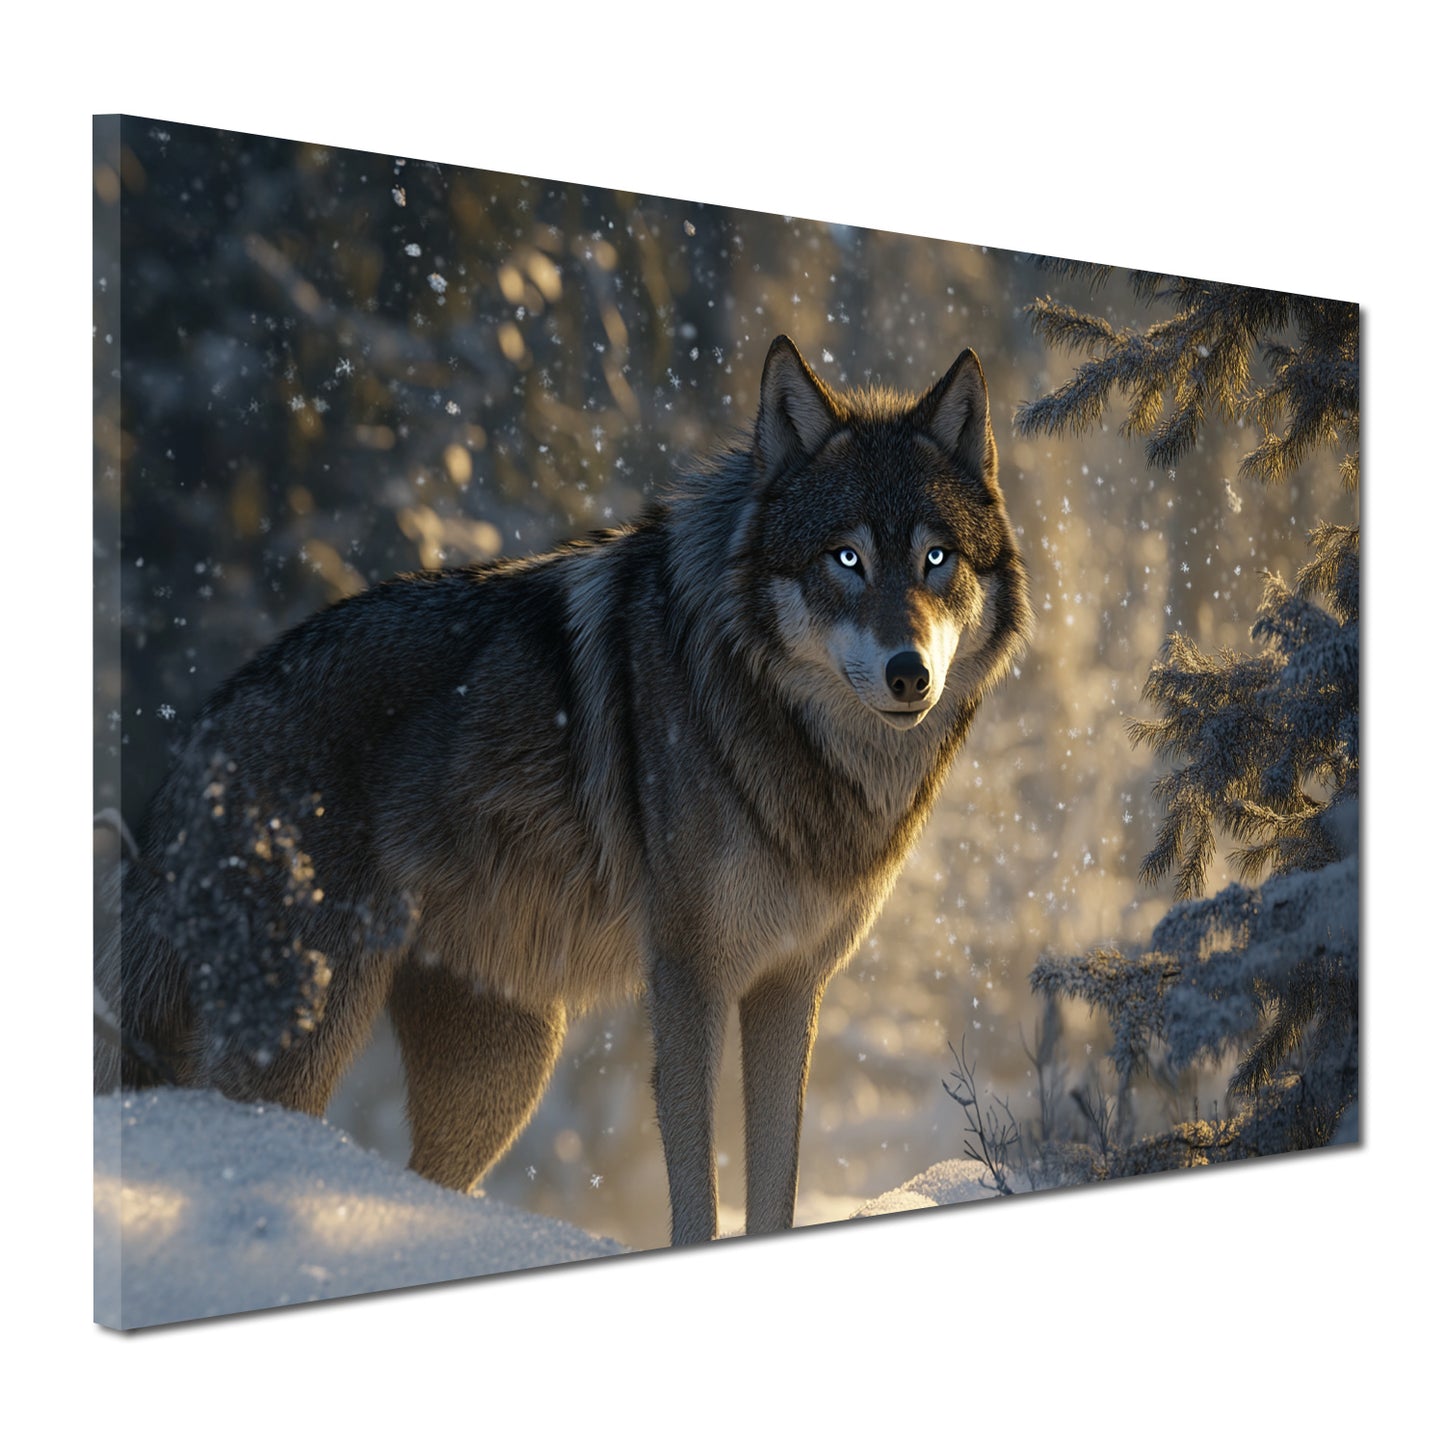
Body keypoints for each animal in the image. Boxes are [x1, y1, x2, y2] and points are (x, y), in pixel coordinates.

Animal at [95, 335, 1031, 1246]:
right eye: (846, 558)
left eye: (935, 558)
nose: (909, 674)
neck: (802, 749)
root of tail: (202, 734)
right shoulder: (688, 977)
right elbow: (696, 1191)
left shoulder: (790, 988)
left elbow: (774, 1192)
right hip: (308, 1033)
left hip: (500, 1072)